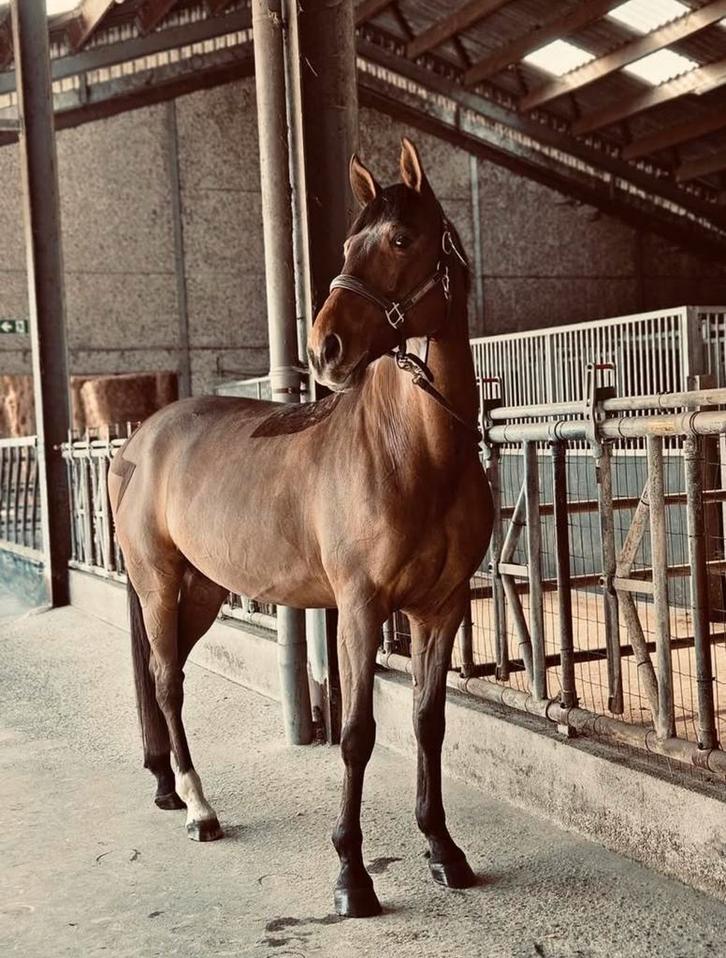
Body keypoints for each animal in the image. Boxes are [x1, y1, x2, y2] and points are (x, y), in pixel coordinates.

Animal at [108, 137, 493, 918]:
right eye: (346, 245)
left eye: (401, 239)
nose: (326, 350)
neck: (414, 454)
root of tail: (136, 444)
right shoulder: (359, 608)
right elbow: (357, 734)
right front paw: (352, 875)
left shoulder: (442, 610)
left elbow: (428, 725)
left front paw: (444, 850)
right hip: (160, 583)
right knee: (166, 682)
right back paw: (199, 807)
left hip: (201, 589)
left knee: (166, 676)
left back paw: (167, 787)